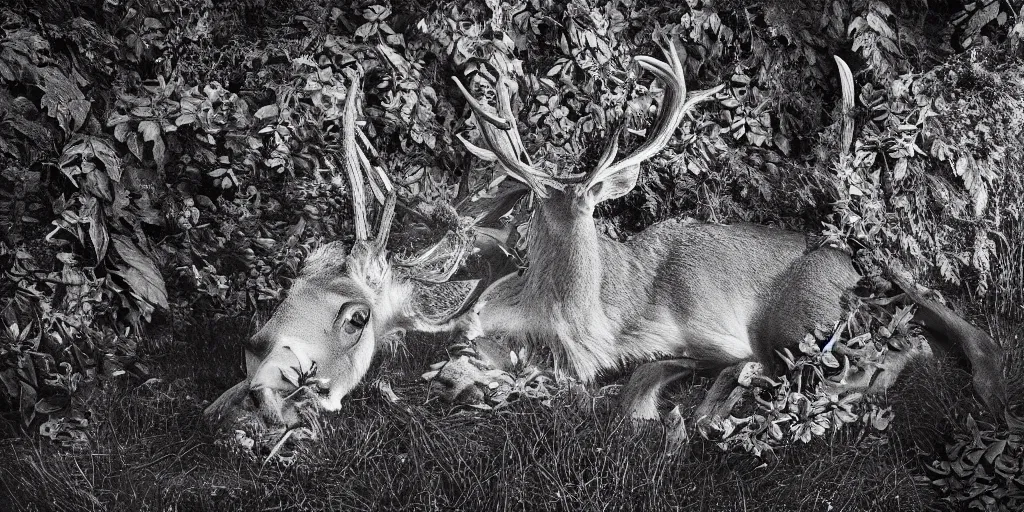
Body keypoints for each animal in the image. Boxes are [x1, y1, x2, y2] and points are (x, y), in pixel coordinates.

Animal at [205, 41, 1007, 438]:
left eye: (355, 316)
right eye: (284, 293)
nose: (265, 382)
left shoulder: (695, 336)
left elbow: (634, 390)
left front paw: (680, 411)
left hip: (803, 317)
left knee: (896, 348)